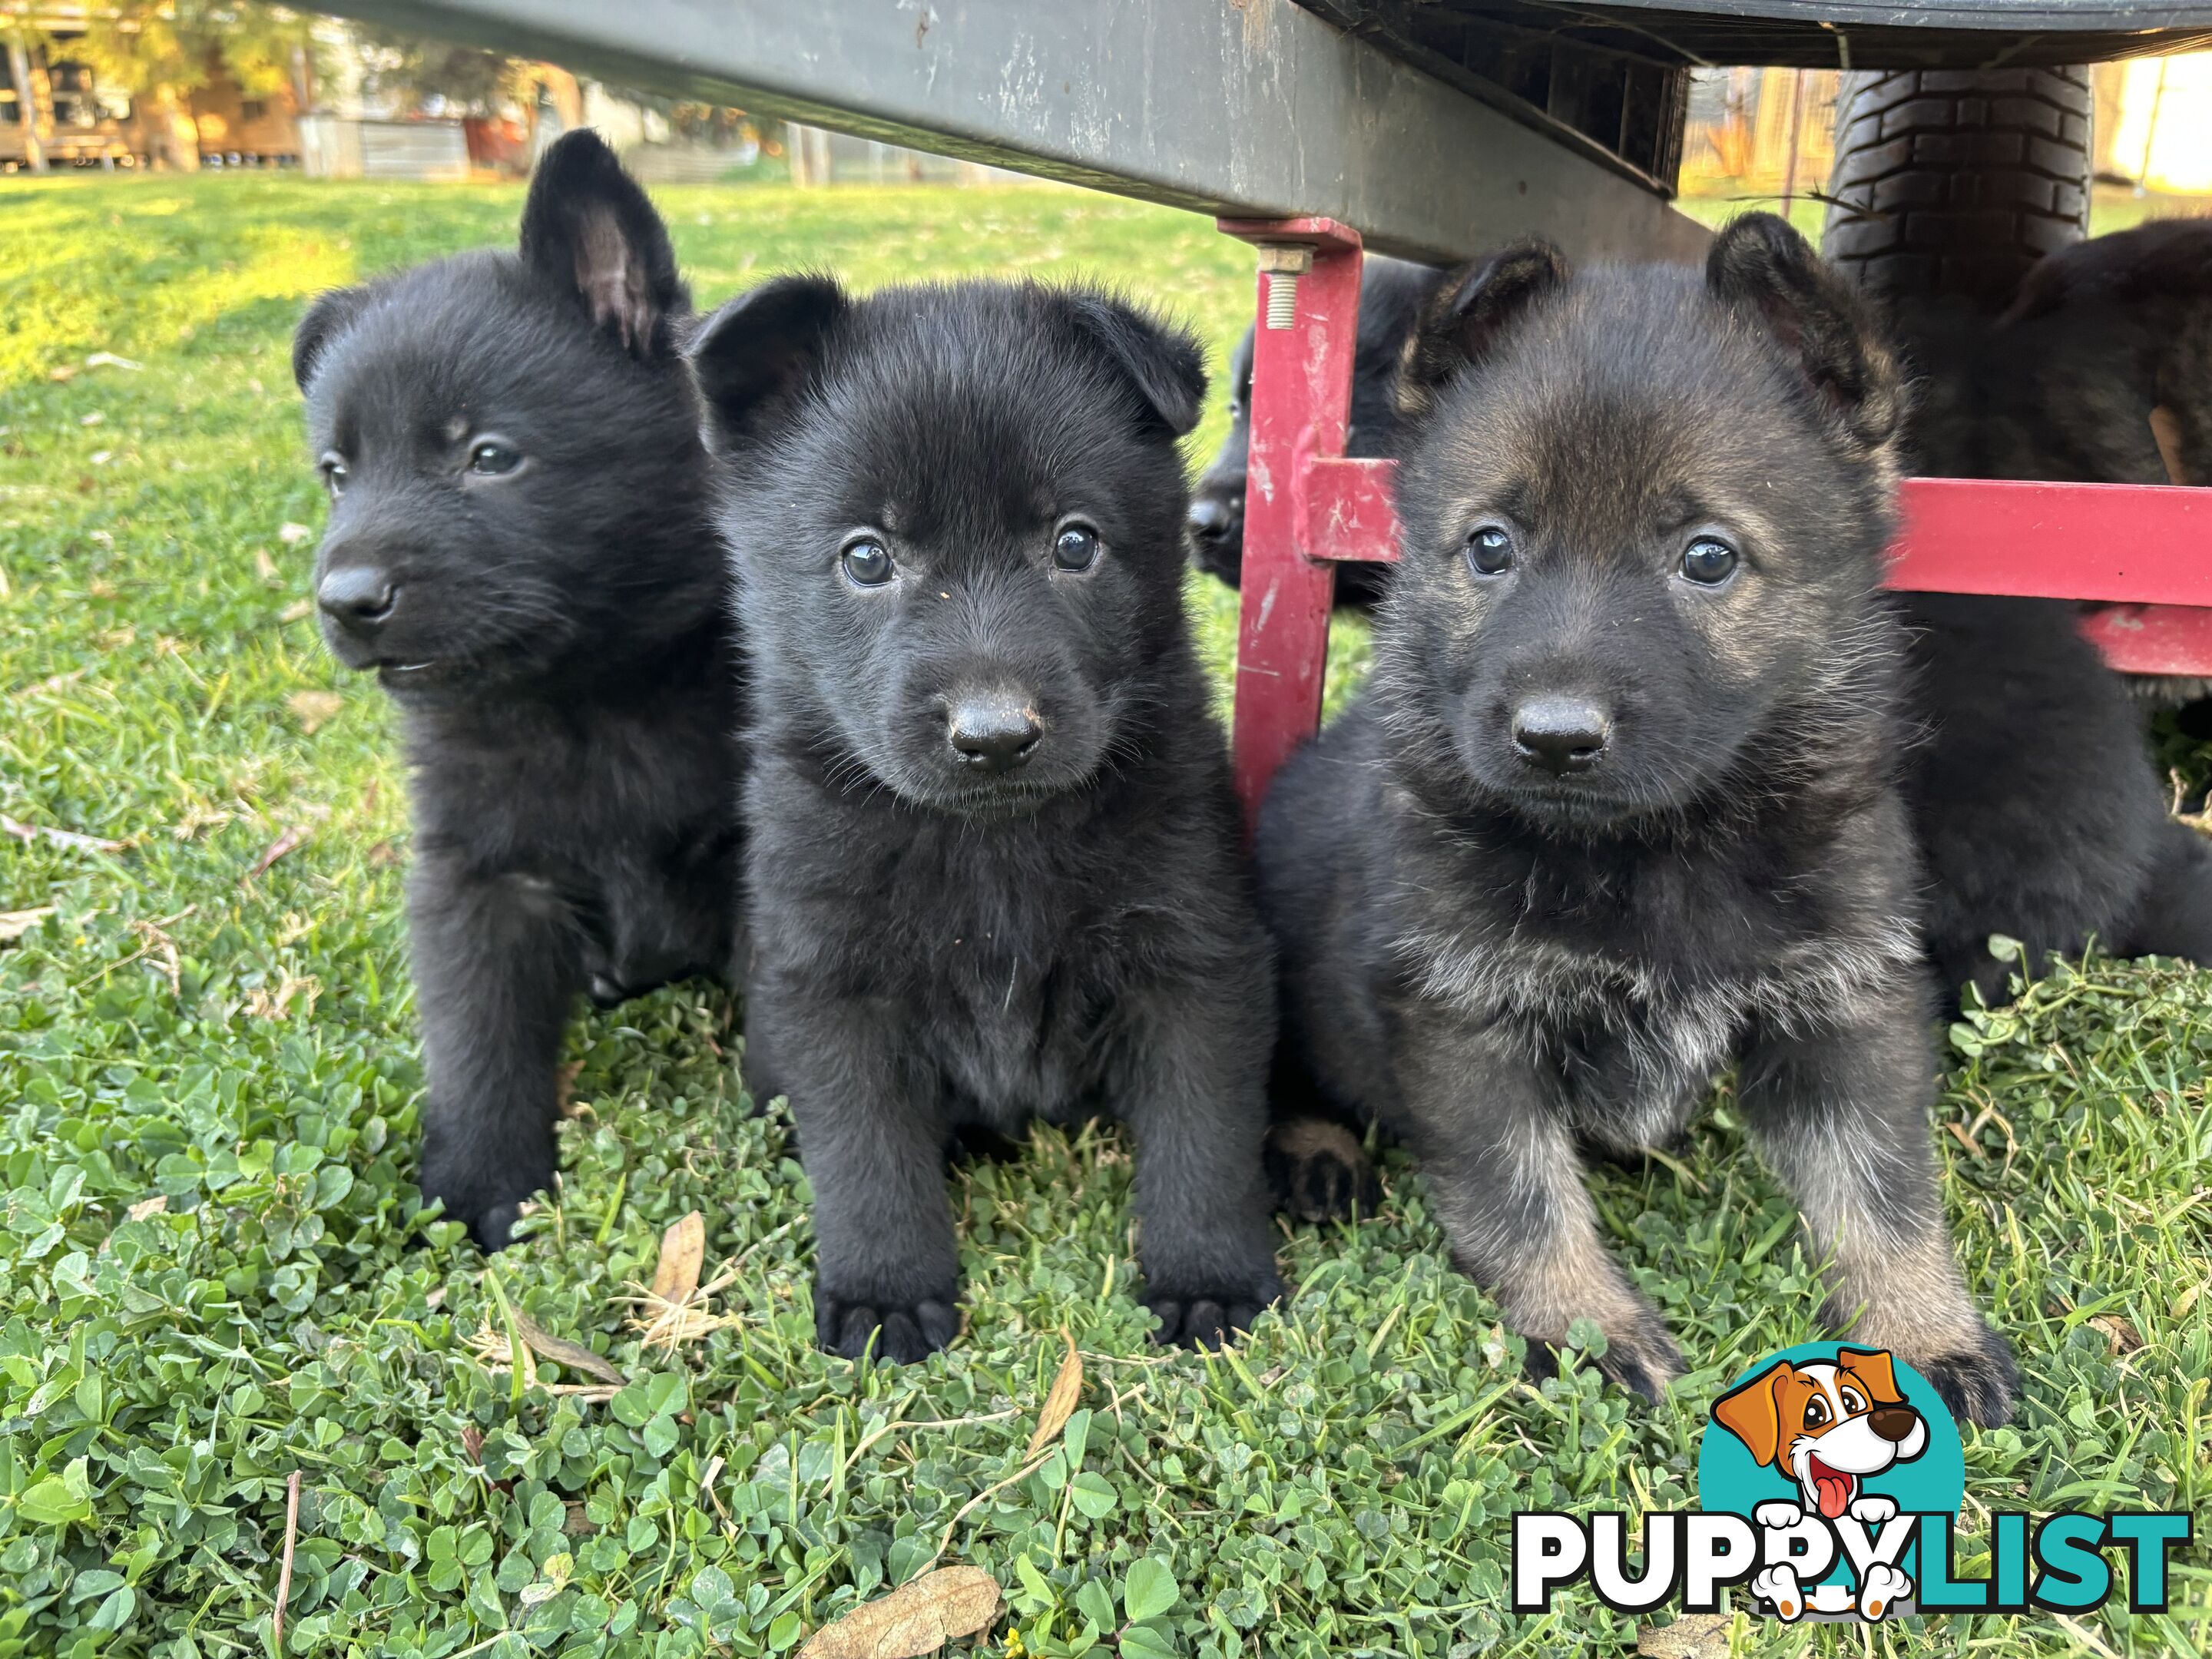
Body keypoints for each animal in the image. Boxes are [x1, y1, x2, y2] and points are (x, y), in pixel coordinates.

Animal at [290, 130, 743, 1247]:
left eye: (489, 456)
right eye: (337, 473)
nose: (345, 600)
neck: (585, 701)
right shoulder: (478, 880)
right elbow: (477, 1044)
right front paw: (481, 1187)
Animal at [685, 276, 1283, 1363]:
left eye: (1075, 543)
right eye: (866, 557)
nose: (995, 735)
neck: (992, 843)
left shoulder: (1197, 956)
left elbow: (1203, 1133)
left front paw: (1208, 1276)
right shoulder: (829, 979)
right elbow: (866, 1152)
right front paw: (885, 1292)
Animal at [1256, 211, 2017, 1433]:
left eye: (1707, 557)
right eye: (1490, 545)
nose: (1554, 738)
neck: (1658, 849)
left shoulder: (1844, 1004)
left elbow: (1882, 1188)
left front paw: (1919, 1328)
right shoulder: (1463, 1020)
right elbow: (1521, 1197)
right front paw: (1584, 1329)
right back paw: (1317, 1152)